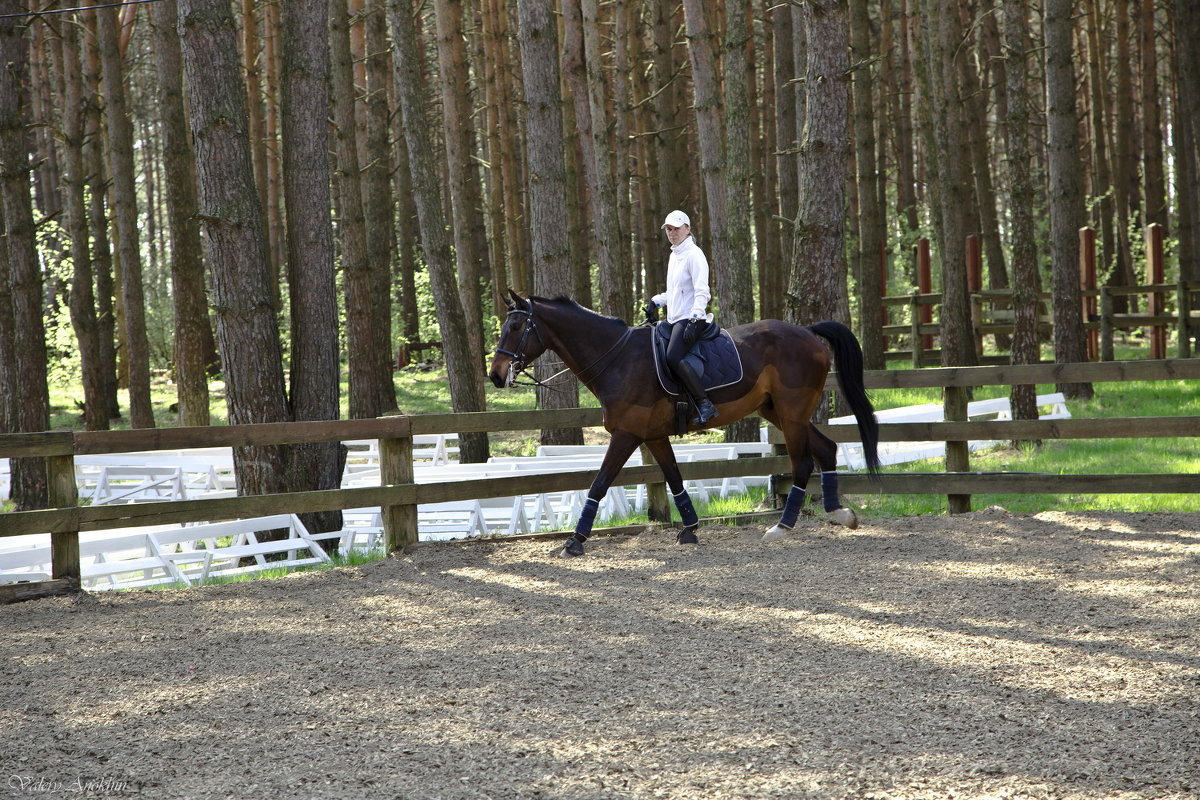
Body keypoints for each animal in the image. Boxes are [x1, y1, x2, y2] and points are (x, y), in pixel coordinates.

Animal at [487, 291, 883, 561]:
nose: (496, 375)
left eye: (517, 326)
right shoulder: (653, 436)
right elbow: (674, 478)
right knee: (826, 450)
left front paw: (575, 541)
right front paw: (690, 530)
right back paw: (839, 513)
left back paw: (782, 527)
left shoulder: (627, 435)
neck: (617, 359)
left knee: (802, 463)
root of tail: (807, 332)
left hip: (792, 413)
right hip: (778, 412)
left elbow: (599, 483)